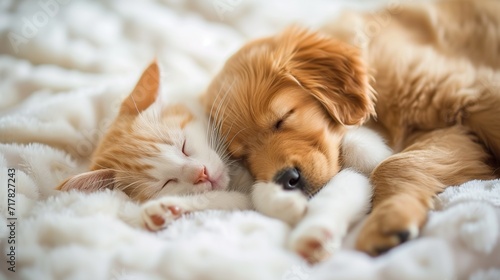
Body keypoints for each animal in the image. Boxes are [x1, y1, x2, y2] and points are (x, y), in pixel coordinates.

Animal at [202, 0, 500, 258]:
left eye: (283, 118)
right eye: (242, 156)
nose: (286, 180)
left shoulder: (466, 91)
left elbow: (391, 164)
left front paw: (385, 217)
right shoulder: (454, 135)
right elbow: (399, 164)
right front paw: (392, 216)